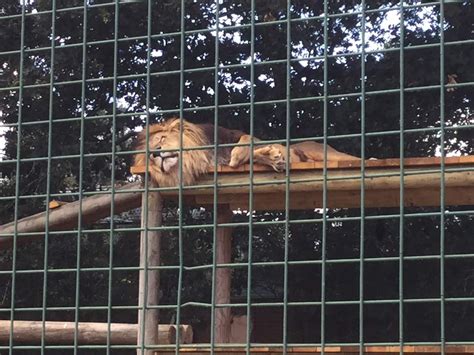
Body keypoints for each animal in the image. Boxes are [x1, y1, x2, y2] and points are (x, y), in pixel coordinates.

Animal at [133, 118, 360, 188]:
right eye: (150, 154)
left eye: (162, 139)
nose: (155, 154)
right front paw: (274, 159)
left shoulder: (241, 136)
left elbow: (246, 141)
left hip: (329, 154)